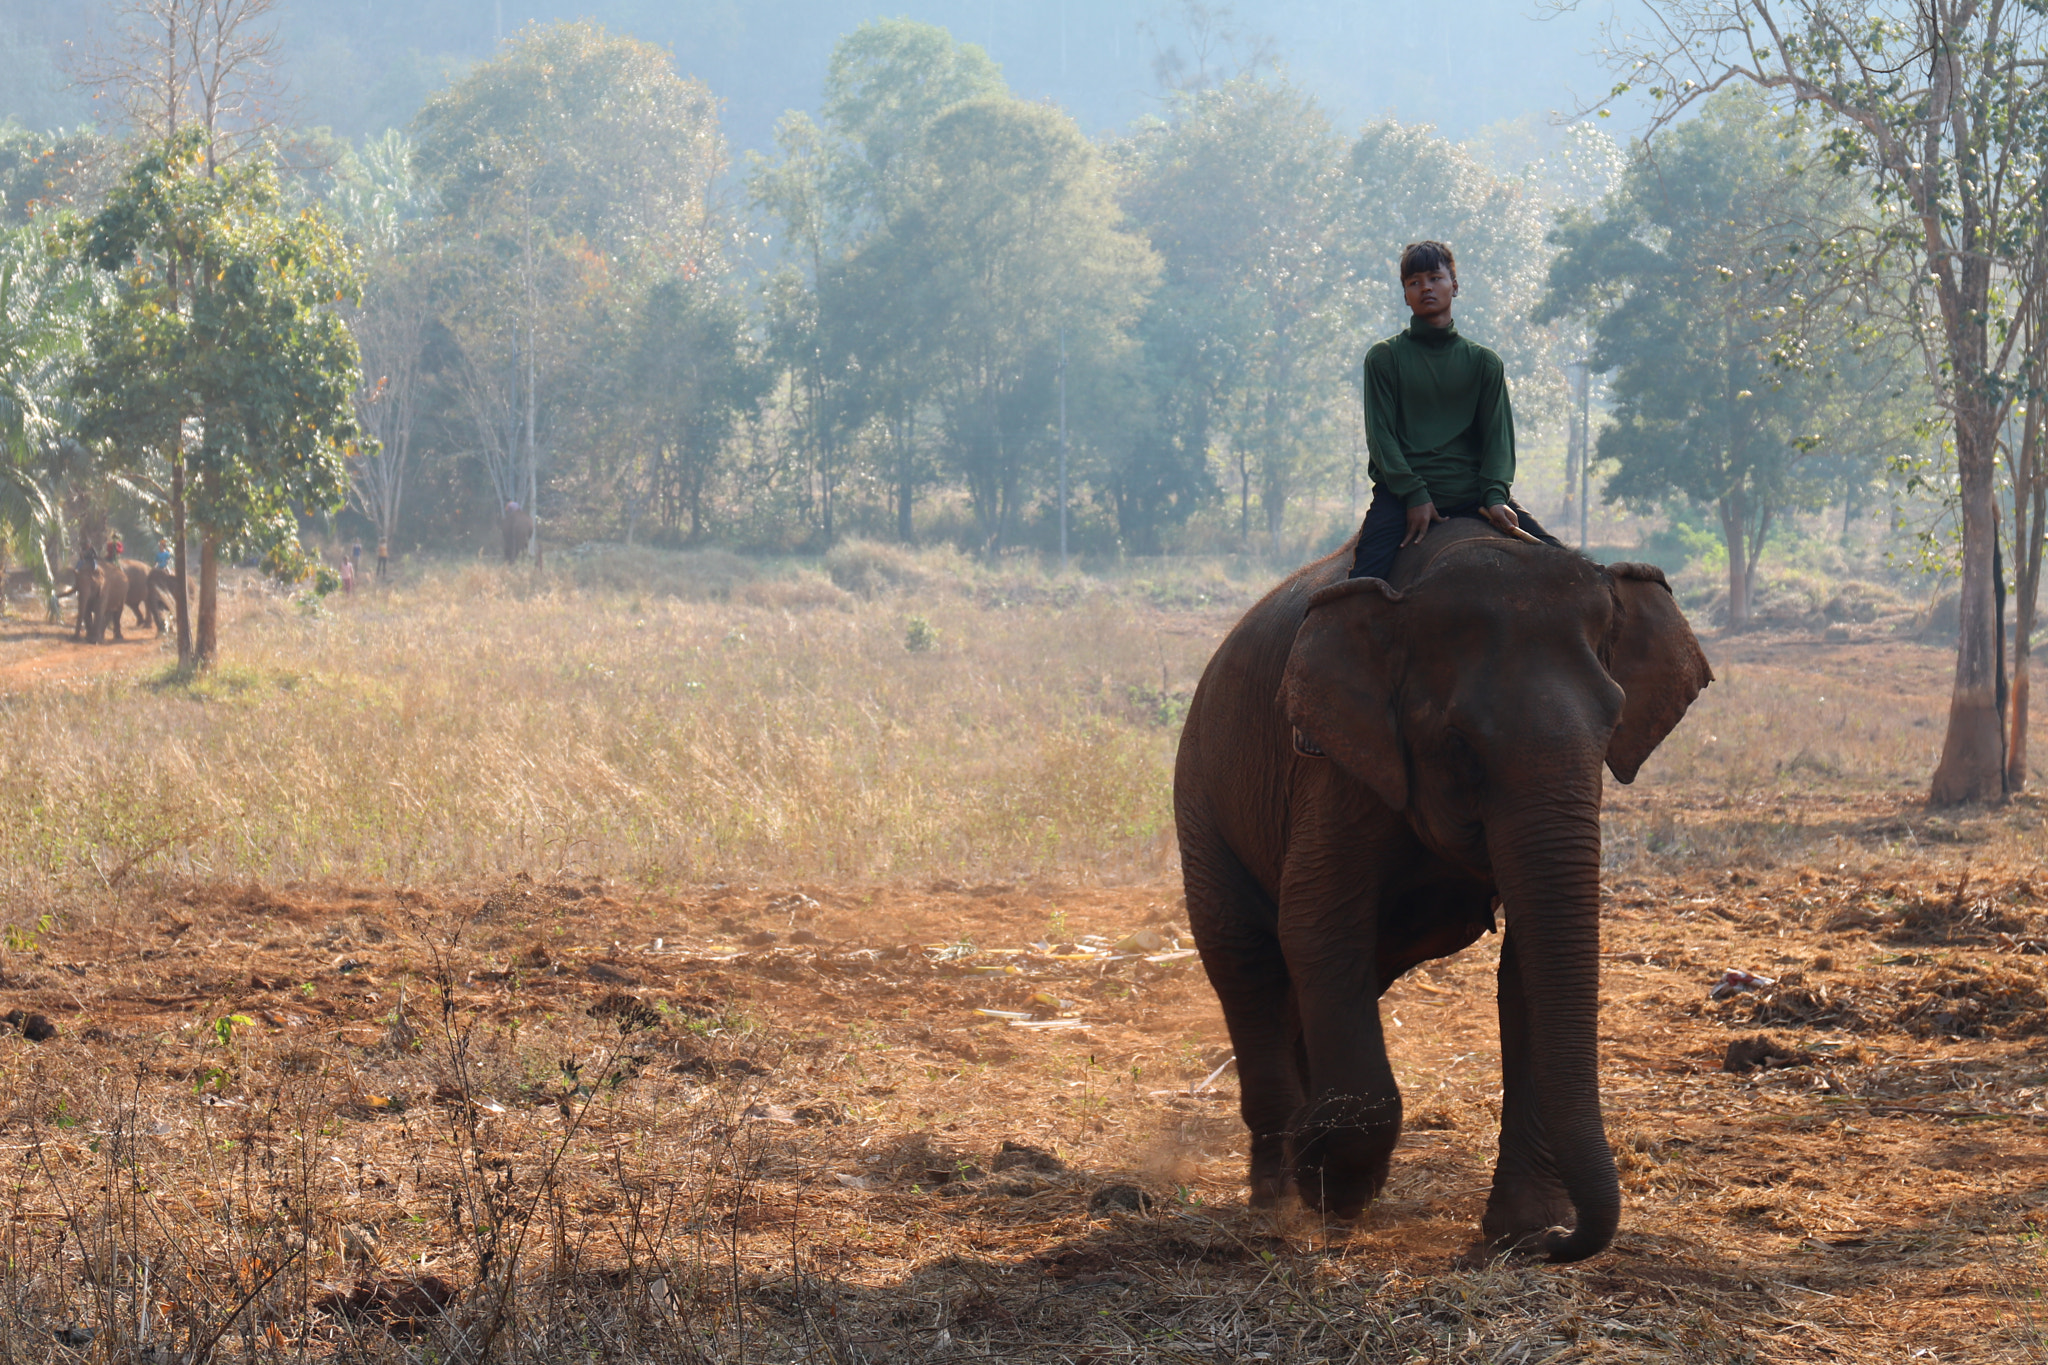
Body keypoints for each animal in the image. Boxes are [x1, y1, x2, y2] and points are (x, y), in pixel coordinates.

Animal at [1174, 518, 1711, 1264]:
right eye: (1459, 744)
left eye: (1613, 727)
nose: (1564, 1241)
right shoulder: (1334, 766)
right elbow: (1317, 924)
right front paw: (1332, 1188)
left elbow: (1526, 964)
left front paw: (1523, 1228)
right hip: (1201, 800)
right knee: (1244, 960)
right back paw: (1275, 1192)